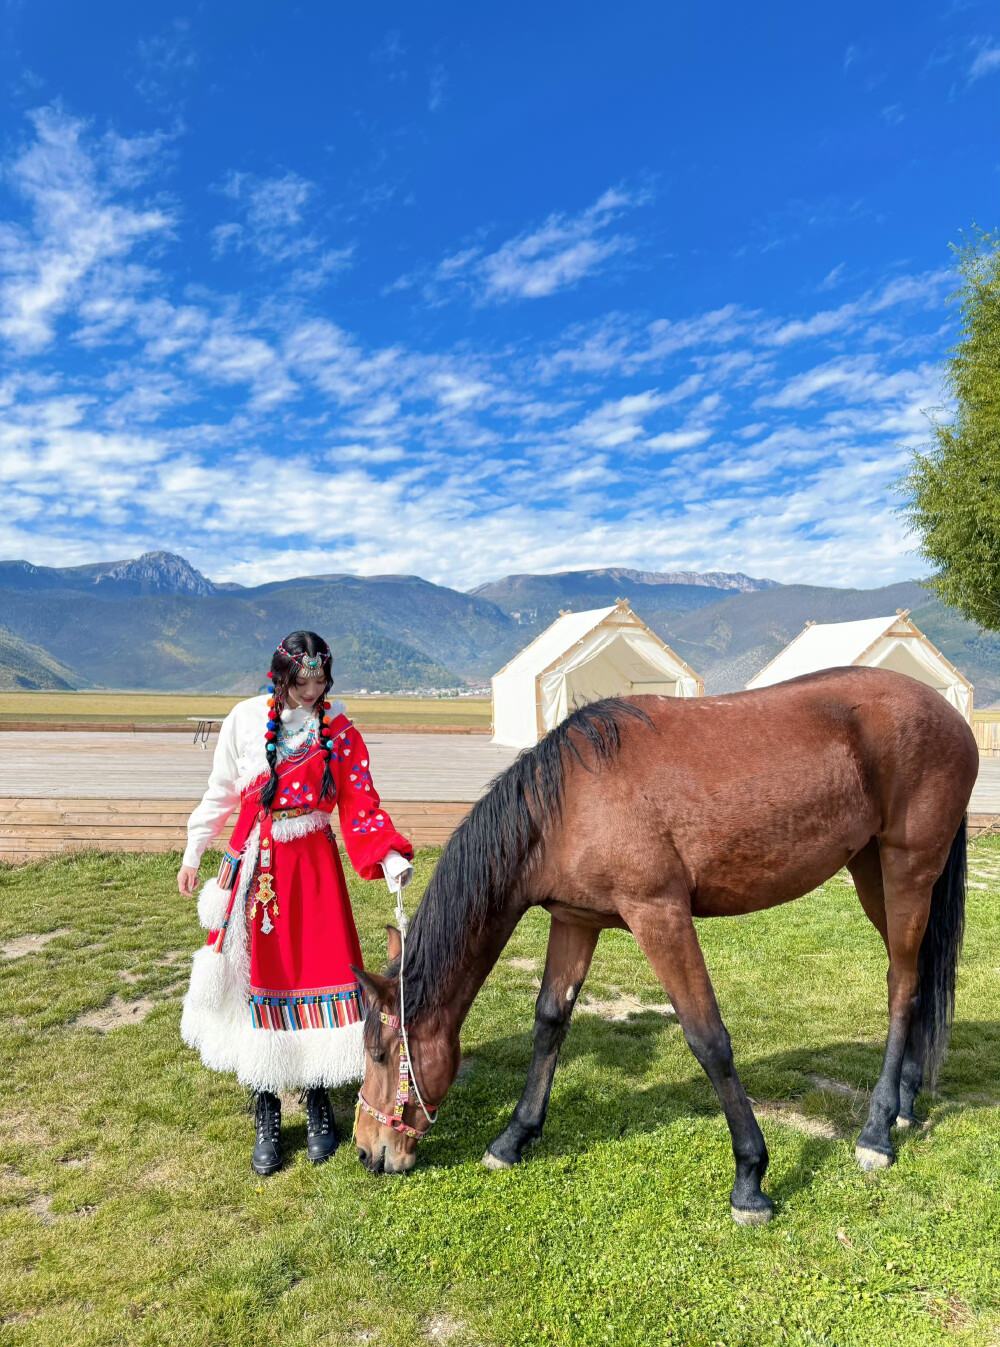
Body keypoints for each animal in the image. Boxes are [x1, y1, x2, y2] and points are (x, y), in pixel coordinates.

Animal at [358, 668, 981, 1228]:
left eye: (381, 1054)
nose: (367, 1152)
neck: (567, 804)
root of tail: (948, 713)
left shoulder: (660, 915)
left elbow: (708, 1039)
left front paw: (750, 1178)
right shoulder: (575, 921)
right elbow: (550, 1021)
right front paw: (514, 1137)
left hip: (906, 870)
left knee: (903, 986)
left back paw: (877, 1129)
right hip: (873, 872)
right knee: (916, 977)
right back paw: (904, 1104)